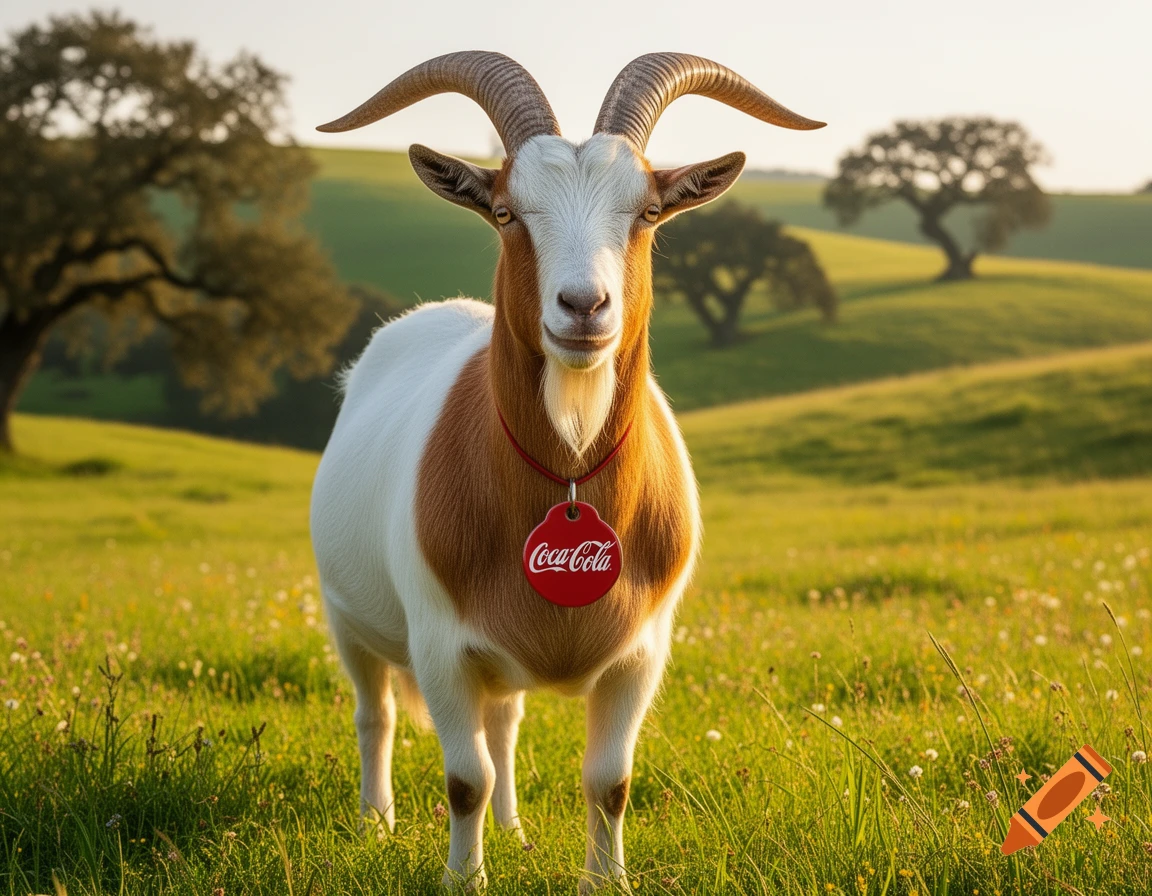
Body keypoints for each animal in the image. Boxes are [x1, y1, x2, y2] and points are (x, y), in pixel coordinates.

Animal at [310, 52, 823, 891]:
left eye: (647, 211)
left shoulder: (641, 654)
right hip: (347, 618)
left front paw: (605, 879)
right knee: (374, 713)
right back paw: (374, 825)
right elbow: (464, 779)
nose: (583, 306)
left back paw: (514, 832)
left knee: (504, 722)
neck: (568, 483)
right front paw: (463, 880)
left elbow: (607, 779)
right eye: (507, 212)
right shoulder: (440, 645)